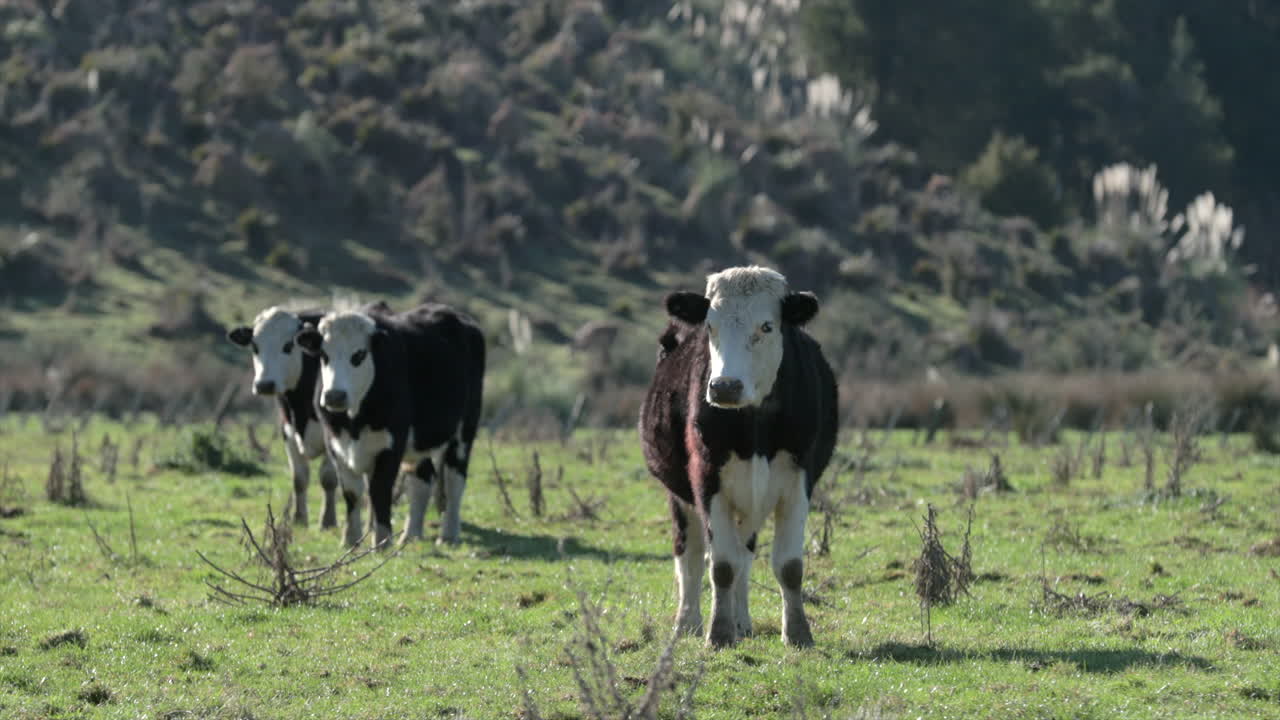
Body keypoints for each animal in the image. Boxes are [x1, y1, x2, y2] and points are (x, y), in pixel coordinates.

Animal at [294, 302, 485, 549]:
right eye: (324, 355)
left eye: (359, 355)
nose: (335, 396)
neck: (354, 420)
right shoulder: (335, 444)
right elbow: (351, 492)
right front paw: (351, 540)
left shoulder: (392, 444)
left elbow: (379, 490)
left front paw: (382, 541)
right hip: (419, 443)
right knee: (422, 480)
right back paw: (411, 534)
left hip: (463, 432)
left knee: (455, 481)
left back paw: (448, 535)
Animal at [639, 266, 837, 649]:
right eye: (710, 326)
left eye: (767, 326)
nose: (724, 387)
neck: (755, 428)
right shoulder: (706, 479)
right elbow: (721, 565)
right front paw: (718, 633)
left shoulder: (798, 480)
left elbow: (788, 565)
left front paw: (798, 633)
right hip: (680, 496)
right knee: (690, 557)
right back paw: (688, 624)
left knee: (745, 554)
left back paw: (742, 623)